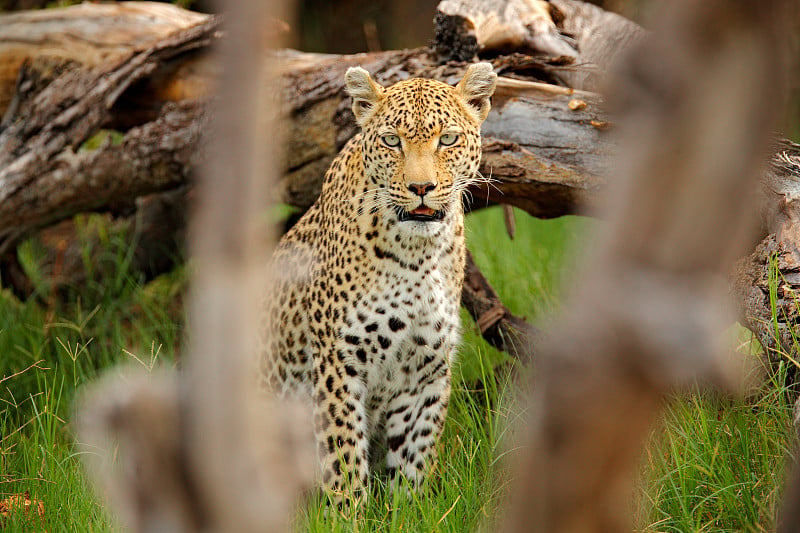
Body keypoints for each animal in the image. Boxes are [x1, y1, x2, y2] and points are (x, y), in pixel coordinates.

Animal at [262, 62, 496, 498]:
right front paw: (349, 508)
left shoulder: (428, 366)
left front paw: (409, 504)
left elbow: (414, 454)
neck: (418, 255)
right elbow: (344, 455)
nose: (421, 188)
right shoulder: (339, 360)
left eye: (448, 139)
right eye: (391, 141)